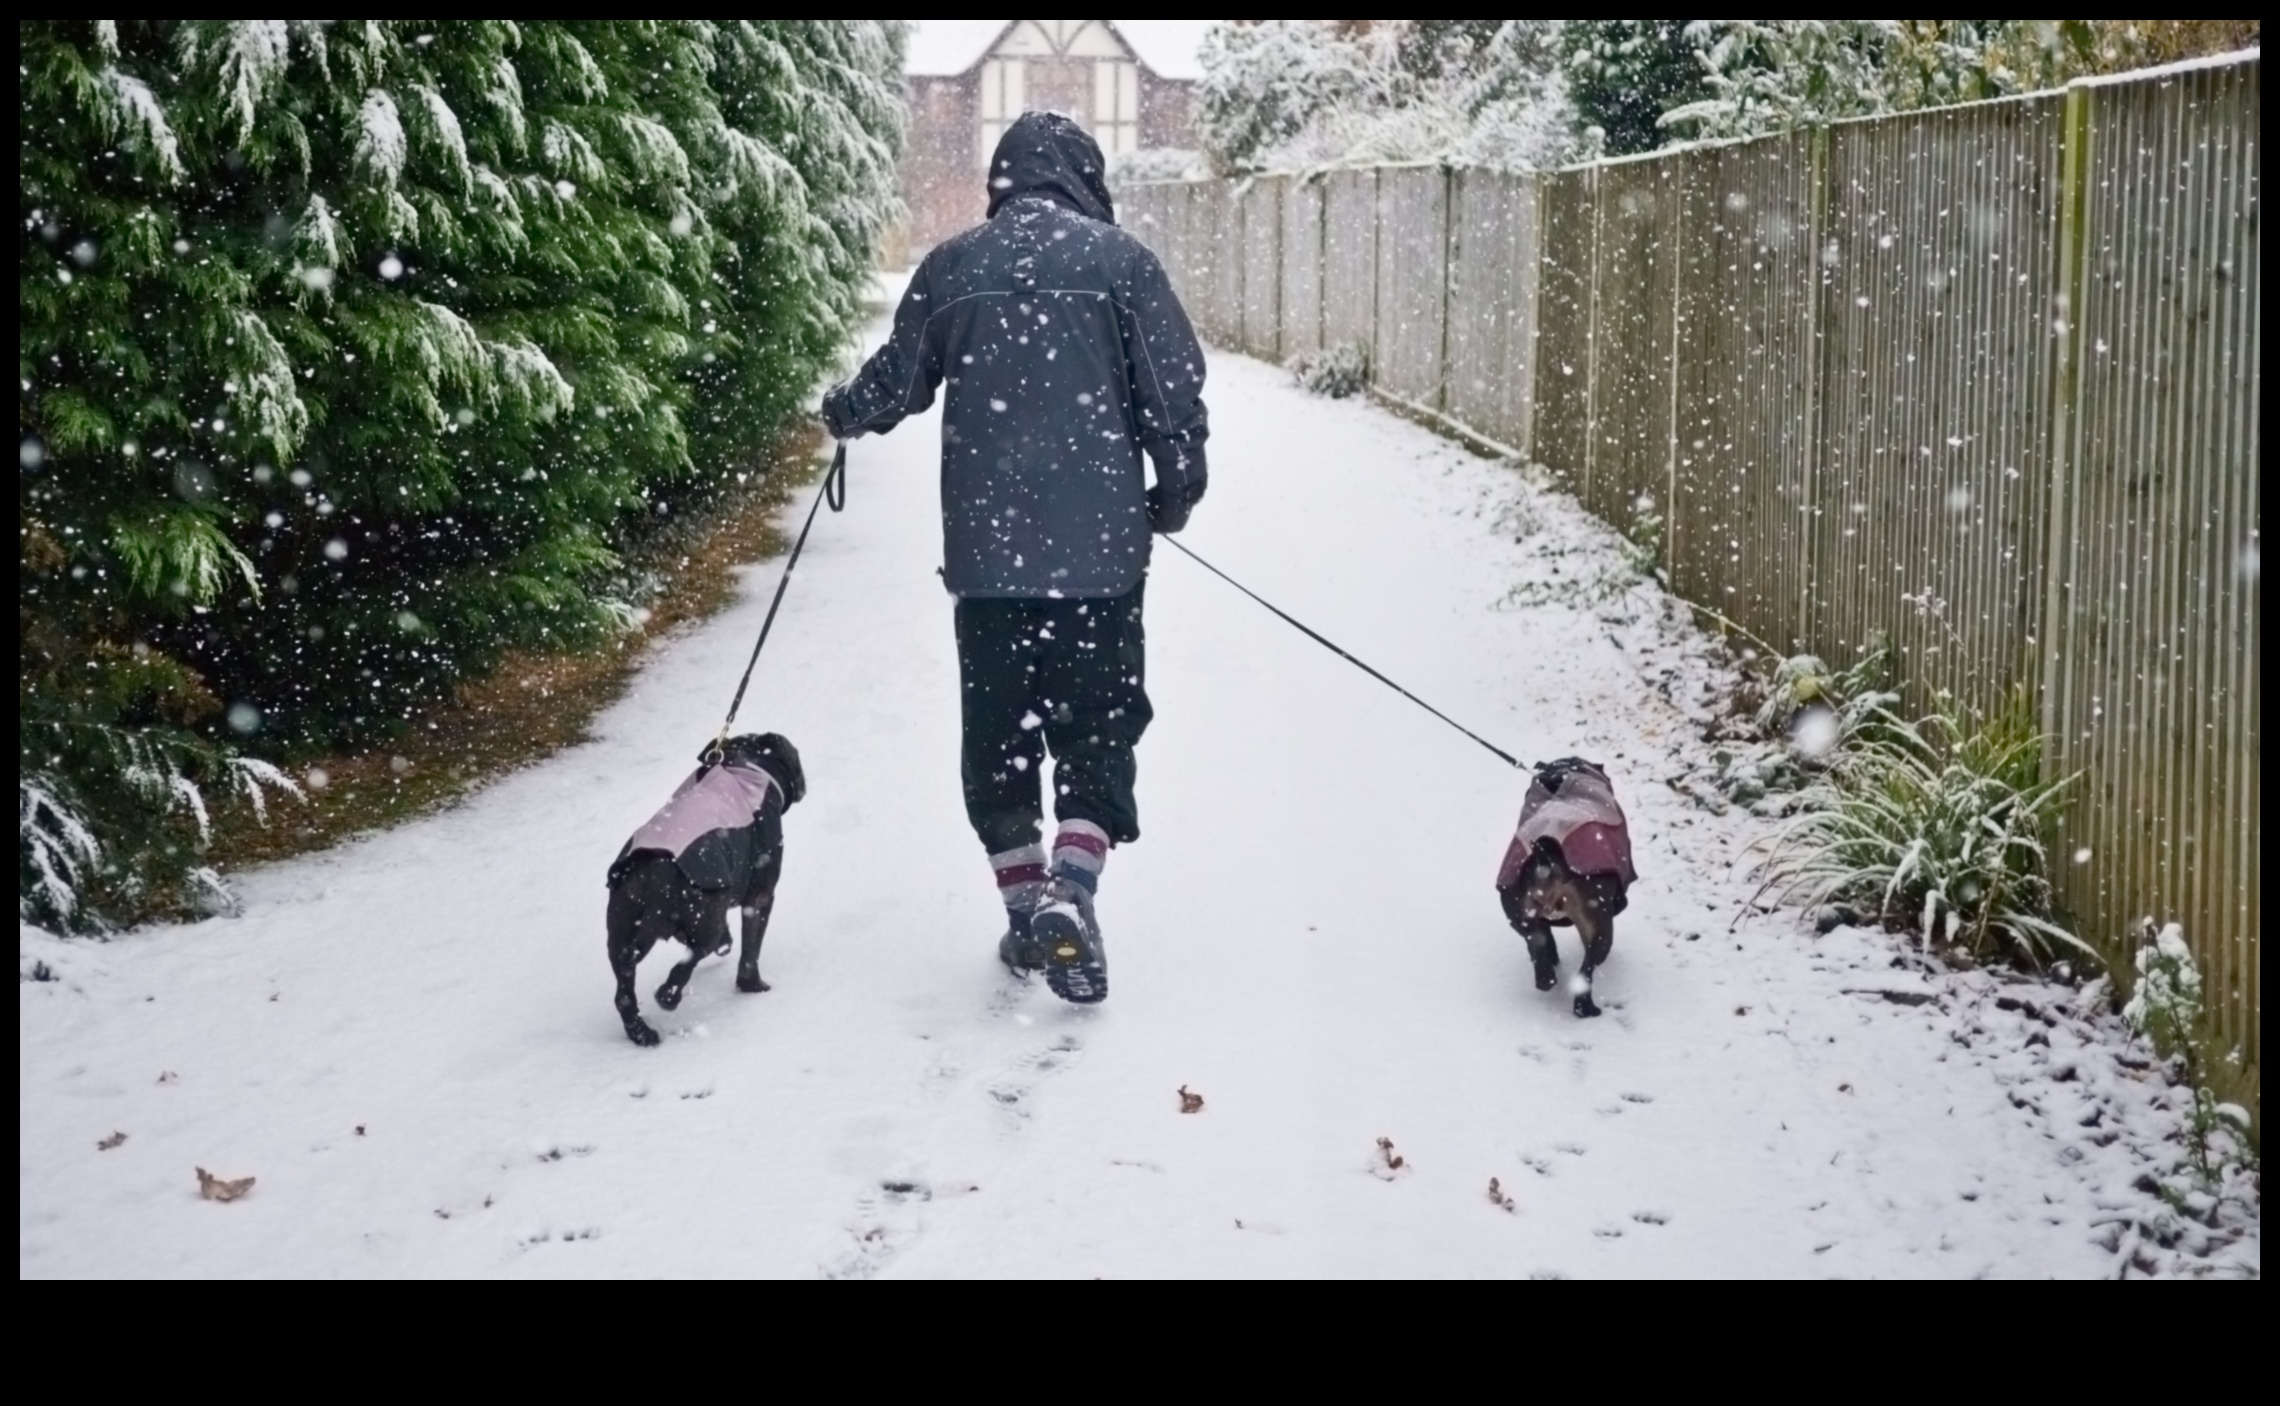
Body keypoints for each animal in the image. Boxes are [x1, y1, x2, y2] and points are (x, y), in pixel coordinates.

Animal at [611, 733, 807, 1043]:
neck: (744, 765)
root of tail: (655, 875)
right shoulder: (760, 897)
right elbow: (751, 950)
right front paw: (754, 986)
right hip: (703, 922)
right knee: (684, 966)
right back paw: (669, 999)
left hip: (621, 932)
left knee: (624, 994)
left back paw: (642, 1034)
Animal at [1495, 751, 1641, 1016]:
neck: (1562, 772)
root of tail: (1547, 857)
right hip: (1598, 922)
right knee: (1588, 968)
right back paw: (1587, 1009)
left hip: (1518, 911)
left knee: (1537, 943)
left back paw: (1547, 975)